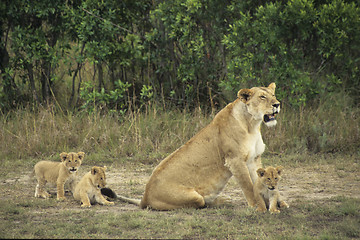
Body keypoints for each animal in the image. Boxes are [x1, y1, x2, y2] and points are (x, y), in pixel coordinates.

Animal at [111, 83, 280, 210]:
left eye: (273, 94)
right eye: (262, 97)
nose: (277, 104)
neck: (252, 125)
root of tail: (144, 197)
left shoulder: (254, 159)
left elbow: (260, 181)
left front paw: (276, 203)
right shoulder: (235, 160)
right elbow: (248, 186)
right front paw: (258, 206)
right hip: (193, 196)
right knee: (201, 202)